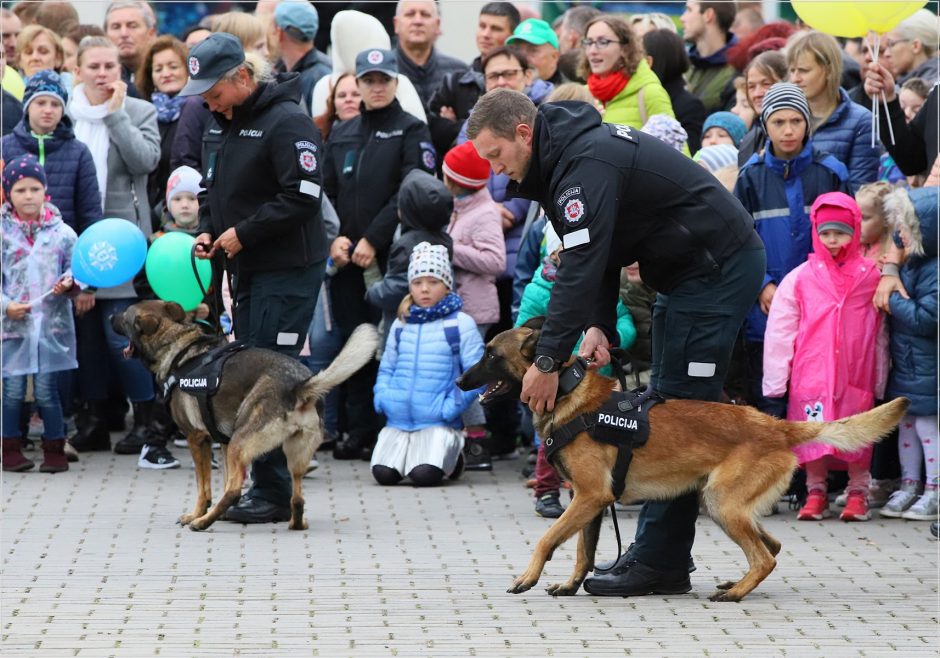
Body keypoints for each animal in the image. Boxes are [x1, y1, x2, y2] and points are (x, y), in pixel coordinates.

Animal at [108, 300, 376, 532]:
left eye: (125, 316)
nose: (110, 317)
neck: (177, 345)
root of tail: (298, 386)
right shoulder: (223, 443)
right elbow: (222, 479)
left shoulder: (197, 439)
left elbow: (203, 486)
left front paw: (196, 514)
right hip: (292, 453)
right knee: (296, 496)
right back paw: (294, 522)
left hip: (241, 441)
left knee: (235, 490)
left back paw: (203, 522)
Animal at [456, 318, 912, 600]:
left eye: (491, 354)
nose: (459, 380)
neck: (568, 392)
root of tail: (775, 425)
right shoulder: (590, 502)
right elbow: (583, 551)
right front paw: (569, 586)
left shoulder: (589, 498)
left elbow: (548, 538)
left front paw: (527, 577)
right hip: (729, 505)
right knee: (772, 546)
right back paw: (736, 582)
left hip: (721, 503)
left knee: (765, 556)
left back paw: (736, 593)